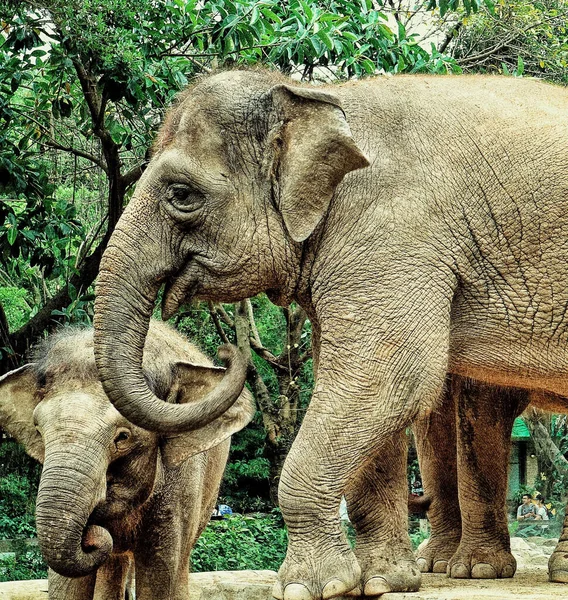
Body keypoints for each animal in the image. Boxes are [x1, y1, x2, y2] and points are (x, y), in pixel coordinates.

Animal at [0, 322, 253, 600]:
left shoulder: (181, 485)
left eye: (123, 437)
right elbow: (66, 586)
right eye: (39, 431)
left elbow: (160, 581)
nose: (90, 534)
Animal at [94, 70, 568, 600]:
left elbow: (388, 379)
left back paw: (499, 570)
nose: (228, 348)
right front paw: (382, 582)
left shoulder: (392, 231)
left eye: (182, 194)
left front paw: (310, 587)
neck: (319, 96)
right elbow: (373, 392)